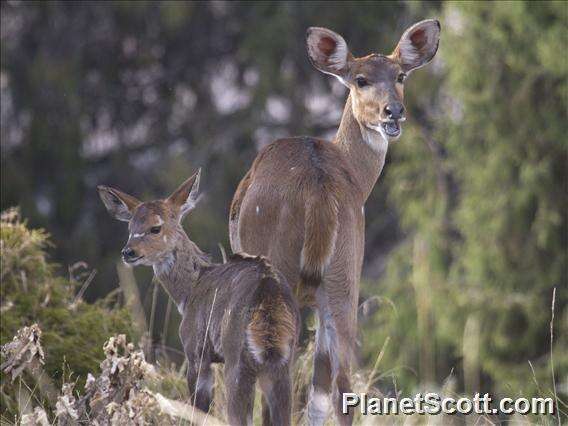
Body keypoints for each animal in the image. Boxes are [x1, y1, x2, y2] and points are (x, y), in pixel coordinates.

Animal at [229, 20, 442, 422]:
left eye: (400, 75)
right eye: (360, 79)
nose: (394, 111)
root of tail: (319, 190)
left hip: (280, 274)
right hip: (345, 275)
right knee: (341, 381)